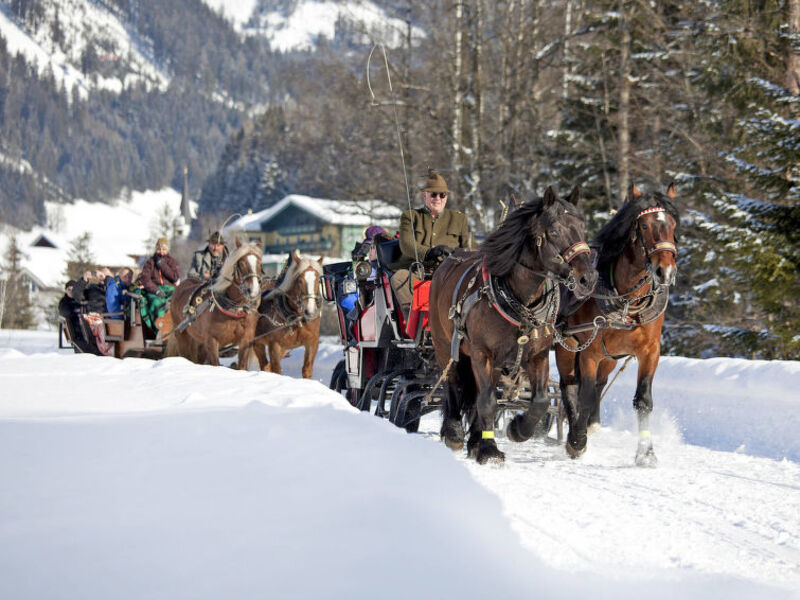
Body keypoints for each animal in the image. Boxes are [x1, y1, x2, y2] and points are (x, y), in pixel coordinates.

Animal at [169, 239, 262, 370]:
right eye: (241, 264)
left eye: (259, 264)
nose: (253, 291)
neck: (235, 310)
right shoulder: (211, 341)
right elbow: (216, 364)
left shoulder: (246, 340)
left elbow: (242, 366)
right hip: (182, 335)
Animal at [432, 188, 592, 464]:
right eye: (554, 231)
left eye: (582, 228)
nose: (588, 277)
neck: (520, 301)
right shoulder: (482, 353)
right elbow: (487, 402)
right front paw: (489, 449)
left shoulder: (537, 355)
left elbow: (540, 400)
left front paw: (518, 429)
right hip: (445, 346)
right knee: (453, 384)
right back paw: (454, 433)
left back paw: (475, 440)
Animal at [556, 184, 680, 468]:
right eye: (643, 226)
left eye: (672, 225)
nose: (665, 272)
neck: (627, 301)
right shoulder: (589, 352)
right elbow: (584, 394)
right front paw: (576, 441)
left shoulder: (650, 351)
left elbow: (643, 400)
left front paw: (646, 453)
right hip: (566, 346)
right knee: (569, 385)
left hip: (610, 357)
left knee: (599, 383)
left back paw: (591, 423)